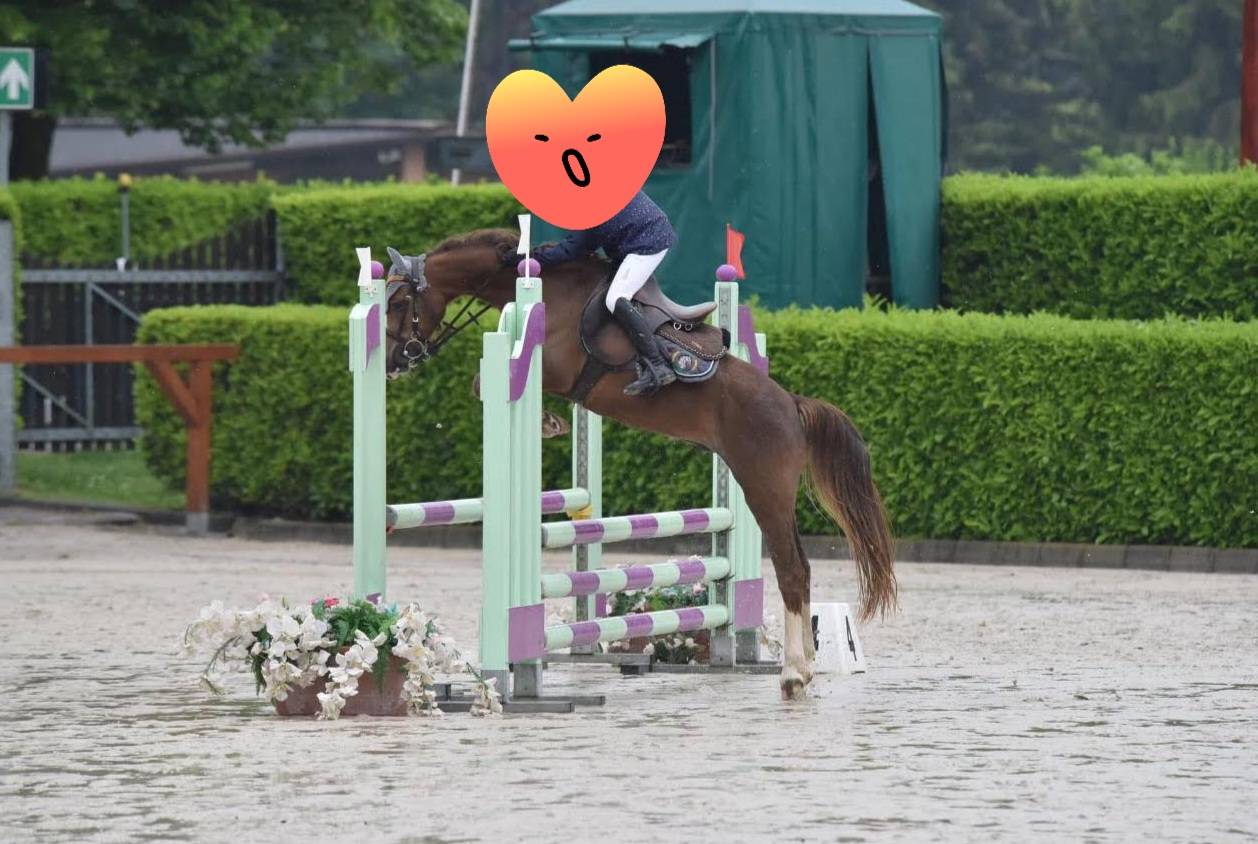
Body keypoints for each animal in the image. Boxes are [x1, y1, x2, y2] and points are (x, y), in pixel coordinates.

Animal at [384, 228, 896, 700]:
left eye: (400, 301)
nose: (394, 362)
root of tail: (791, 404)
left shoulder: (553, 368)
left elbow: (479, 383)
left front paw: (548, 423)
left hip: (763, 488)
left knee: (792, 570)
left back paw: (792, 675)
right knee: (801, 569)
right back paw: (804, 667)